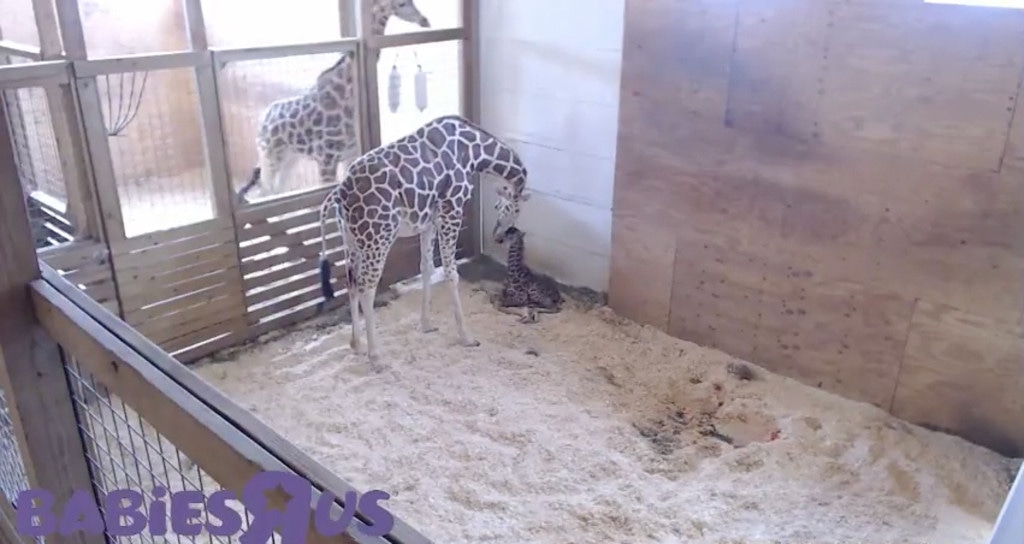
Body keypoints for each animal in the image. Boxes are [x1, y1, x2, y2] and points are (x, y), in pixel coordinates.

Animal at [235, 0, 431, 204]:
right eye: (402, 3)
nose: (425, 21)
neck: (344, 96)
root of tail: (262, 119)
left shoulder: (351, 154)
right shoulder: (326, 160)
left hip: (290, 158)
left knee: (277, 190)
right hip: (270, 156)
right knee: (265, 192)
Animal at [316, 114, 532, 369]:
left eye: (502, 206)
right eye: (511, 208)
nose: (498, 236)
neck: (474, 152)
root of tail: (339, 192)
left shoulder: (429, 221)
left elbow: (427, 267)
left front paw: (426, 324)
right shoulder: (452, 211)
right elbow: (451, 273)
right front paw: (466, 336)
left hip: (351, 239)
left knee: (350, 282)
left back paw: (356, 344)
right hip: (378, 237)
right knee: (366, 286)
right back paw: (376, 357)